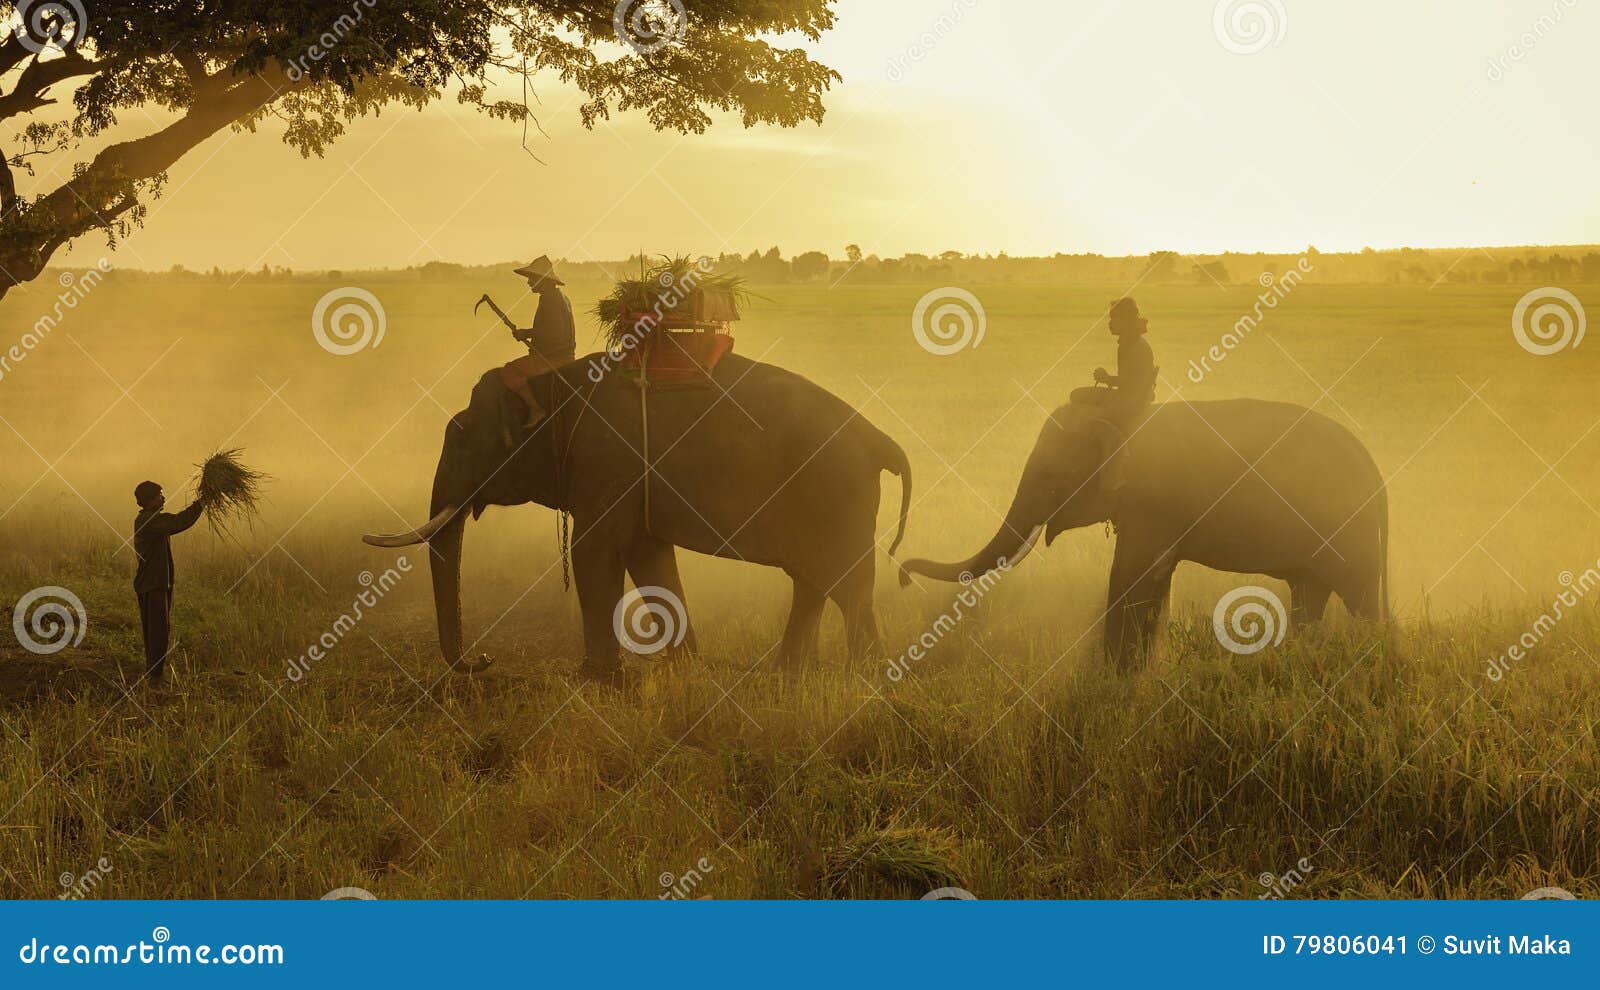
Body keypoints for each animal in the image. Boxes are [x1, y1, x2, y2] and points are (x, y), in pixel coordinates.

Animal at [364, 352, 912, 678]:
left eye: (459, 441)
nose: (484, 658)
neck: (553, 383)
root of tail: (882, 441)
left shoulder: (608, 461)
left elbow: (594, 552)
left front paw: (596, 683)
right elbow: (648, 556)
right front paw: (685, 671)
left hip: (838, 496)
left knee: (846, 587)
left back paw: (864, 680)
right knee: (813, 582)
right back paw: (787, 678)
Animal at [897, 399, 1387, 665]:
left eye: (1052, 478)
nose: (902, 575)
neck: (1122, 415)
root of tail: (1378, 475)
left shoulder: (1153, 504)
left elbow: (1130, 576)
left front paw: (1116, 677)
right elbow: (1153, 580)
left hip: (1350, 534)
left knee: (1359, 601)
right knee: (1310, 597)